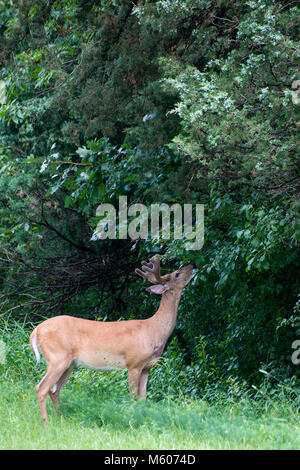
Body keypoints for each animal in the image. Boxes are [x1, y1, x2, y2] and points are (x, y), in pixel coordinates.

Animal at [29, 255, 195, 424]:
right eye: (176, 274)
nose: (192, 264)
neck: (153, 330)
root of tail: (36, 330)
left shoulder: (147, 367)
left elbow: (143, 398)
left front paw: (144, 420)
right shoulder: (134, 363)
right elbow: (134, 397)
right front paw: (134, 420)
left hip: (69, 364)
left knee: (54, 390)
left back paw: (61, 417)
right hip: (57, 357)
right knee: (41, 388)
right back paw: (46, 423)